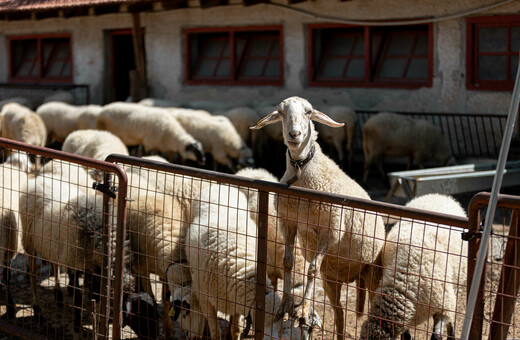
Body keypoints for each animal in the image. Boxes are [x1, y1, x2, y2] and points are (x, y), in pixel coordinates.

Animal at [250, 96, 388, 340]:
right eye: (281, 112)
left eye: (309, 112)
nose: (294, 134)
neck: (303, 171)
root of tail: (352, 277)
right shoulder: (289, 223)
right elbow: (288, 262)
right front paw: (285, 306)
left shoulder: (330, 230)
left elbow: (311, 269)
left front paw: (304, 310)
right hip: (332, 277)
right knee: (339, 312)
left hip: (373, 273)